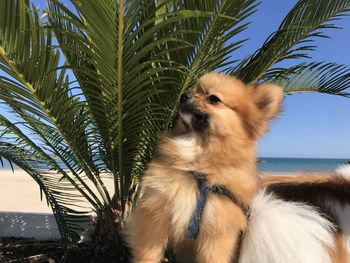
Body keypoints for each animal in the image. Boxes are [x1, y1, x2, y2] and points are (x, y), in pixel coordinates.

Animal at [124, 72, 350, 263]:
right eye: (193, 90)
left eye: (213, 98)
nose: (183, 95)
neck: (198, 171)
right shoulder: (155, 218)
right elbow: (148, 255)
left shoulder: (217, 233)